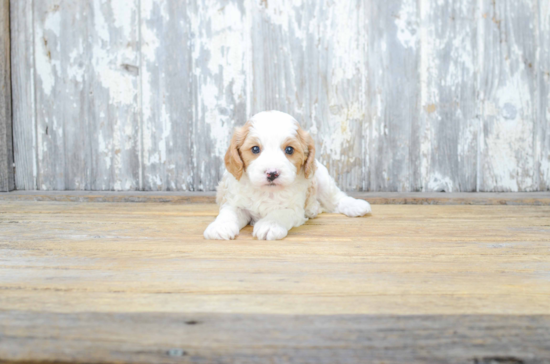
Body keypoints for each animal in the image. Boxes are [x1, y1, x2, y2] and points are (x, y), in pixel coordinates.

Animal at [205, 111, 374, 242]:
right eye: (255, 149)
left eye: (289, 150)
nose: (272, 173)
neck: (268, 191)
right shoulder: (235, 202)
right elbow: (228, 213)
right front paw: (220, 226)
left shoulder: (293, 208)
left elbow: (279, 213)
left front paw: (269, 224)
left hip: (322, 179)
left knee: (336, 199)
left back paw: (355, 206)